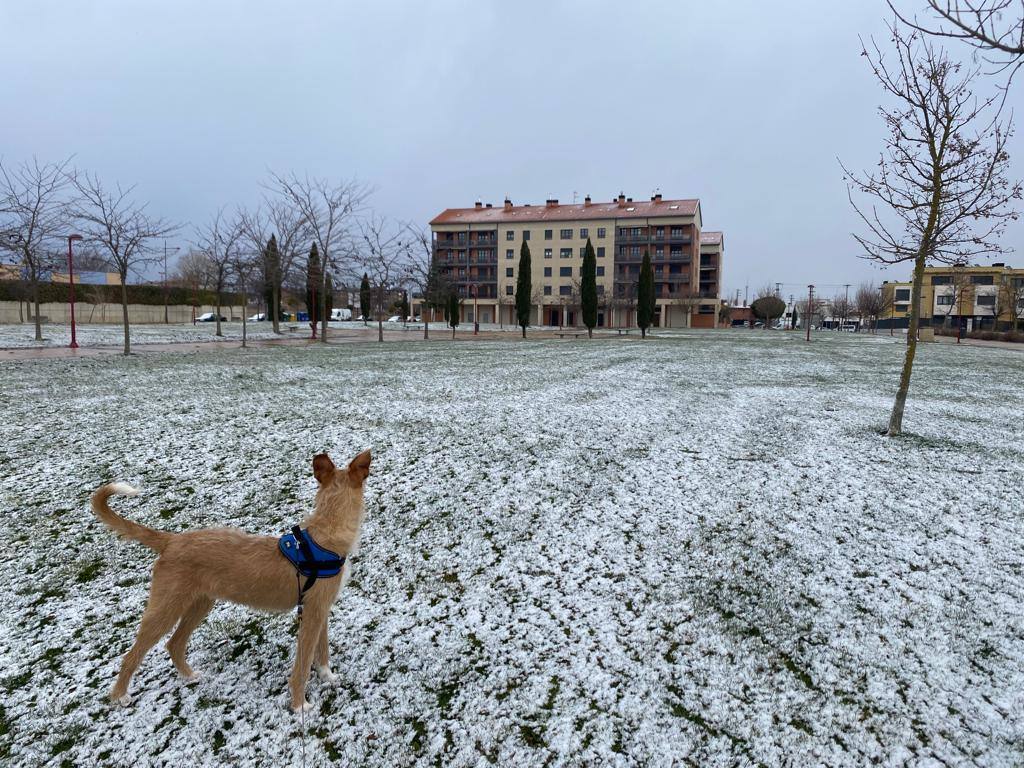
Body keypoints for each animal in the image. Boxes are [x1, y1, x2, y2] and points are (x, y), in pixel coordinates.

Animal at [88, 450, 368, 716]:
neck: (324, 537)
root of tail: (171, 541)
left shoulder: (319, 610)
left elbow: (322, 651)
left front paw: (327, 677)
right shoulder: (311, 614)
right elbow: (302, 663)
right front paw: (300, 705)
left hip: (200, 604)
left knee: (174, 643)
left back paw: (189, 676)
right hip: (165, 609)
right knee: (131, 655)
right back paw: (120, 695)